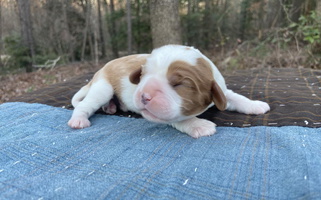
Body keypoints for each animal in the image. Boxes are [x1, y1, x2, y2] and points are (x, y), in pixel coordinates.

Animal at [69, 44, 268, 138]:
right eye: (143, 74)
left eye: (179, 84)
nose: (144, 95)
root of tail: (100, 70)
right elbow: (180, 119)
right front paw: (199, 125)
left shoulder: (221, 90)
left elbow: (237, 98)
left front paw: (255, 105)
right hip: (103, 88)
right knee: (84, 105)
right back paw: (79, 120)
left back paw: (111, 107)